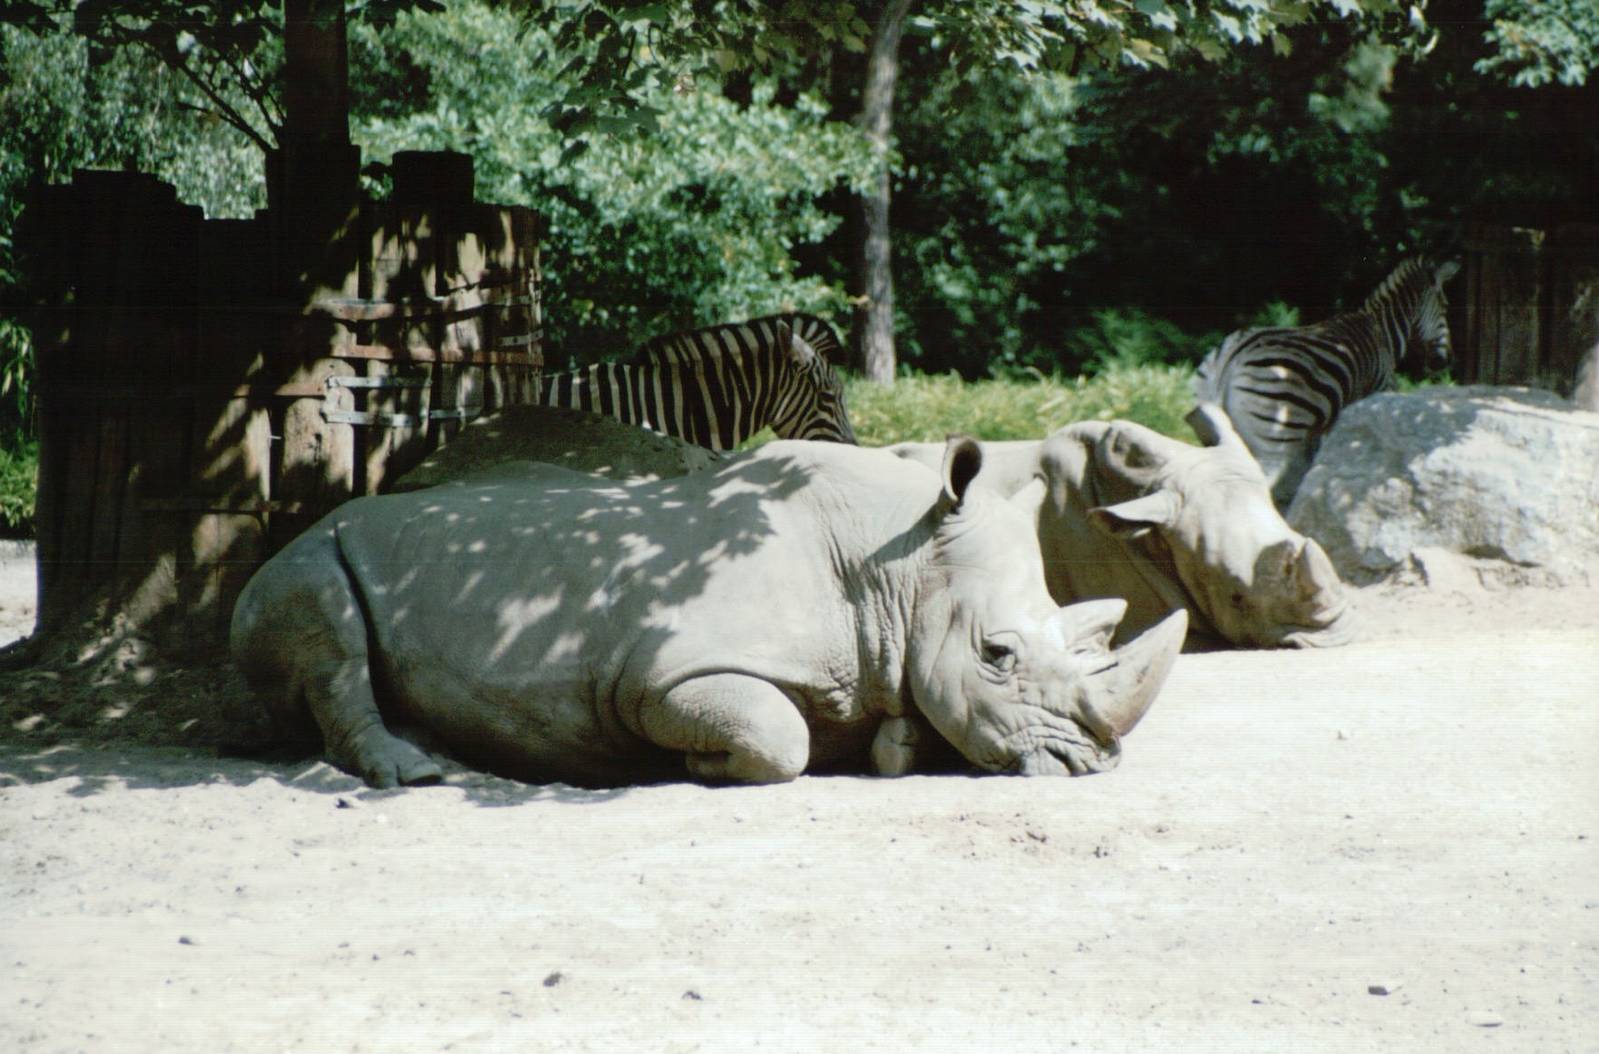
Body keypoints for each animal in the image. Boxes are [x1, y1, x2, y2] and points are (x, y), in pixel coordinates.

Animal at [231, 438, 1186, 788]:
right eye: (996, 655)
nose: (1088, 762)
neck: (898, 566)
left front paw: (896, 745)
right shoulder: (660, 675)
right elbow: (776, 736)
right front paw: (694, 765)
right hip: (306, 555)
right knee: (326, 627)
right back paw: (415, 773)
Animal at [1194, 257, 1460, 508]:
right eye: (1446, 307)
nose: (1446, 361)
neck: (1382, 333)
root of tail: (1233, 355)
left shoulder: (1319, 429)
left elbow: (1312, 467)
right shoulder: (1374, 394)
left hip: (1218, 432)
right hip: (1273, 438)